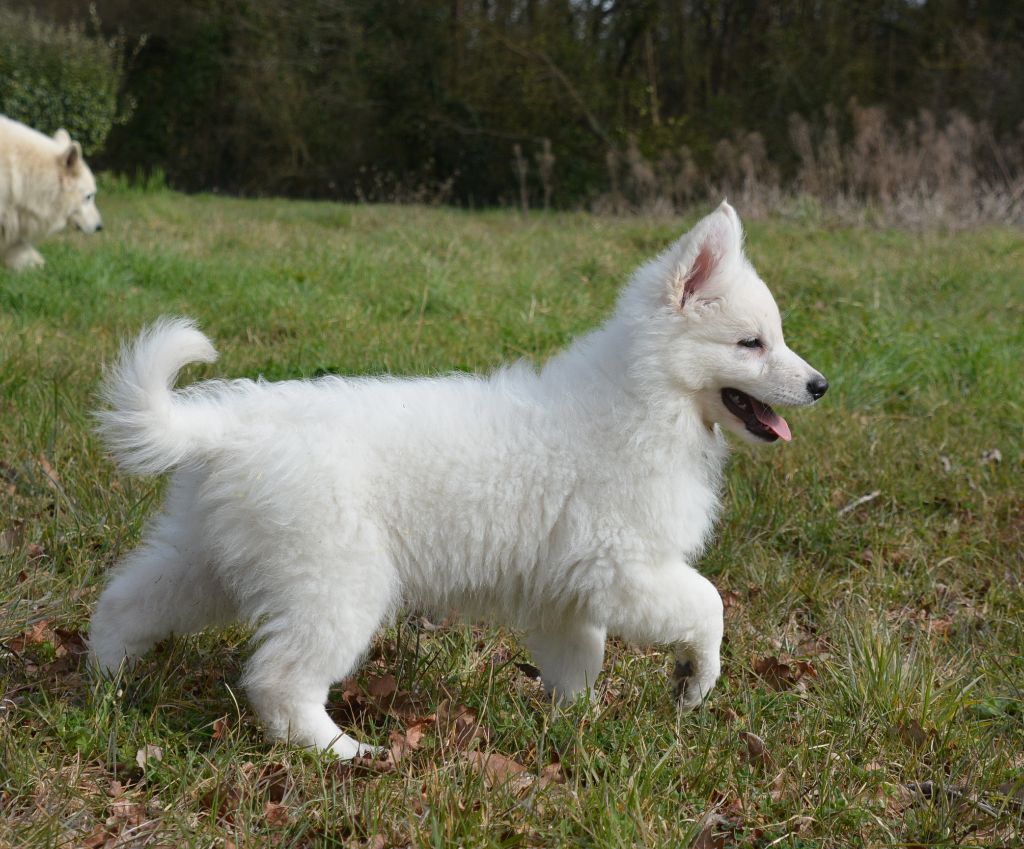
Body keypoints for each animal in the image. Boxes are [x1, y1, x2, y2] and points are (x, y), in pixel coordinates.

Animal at [86, 201, 823, 757]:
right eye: (751, 344)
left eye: (778, 337)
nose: (820, 385)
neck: (649, 400)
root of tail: (228, 425)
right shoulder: (626, 569)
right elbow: (709, 603)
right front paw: (696, 679)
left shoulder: (567, 591)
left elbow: (579, 659)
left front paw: (574, 723)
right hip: (337, 582)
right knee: (279, 678)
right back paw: (345, 752)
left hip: (206, 557)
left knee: (128, 601)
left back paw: (104, 681)